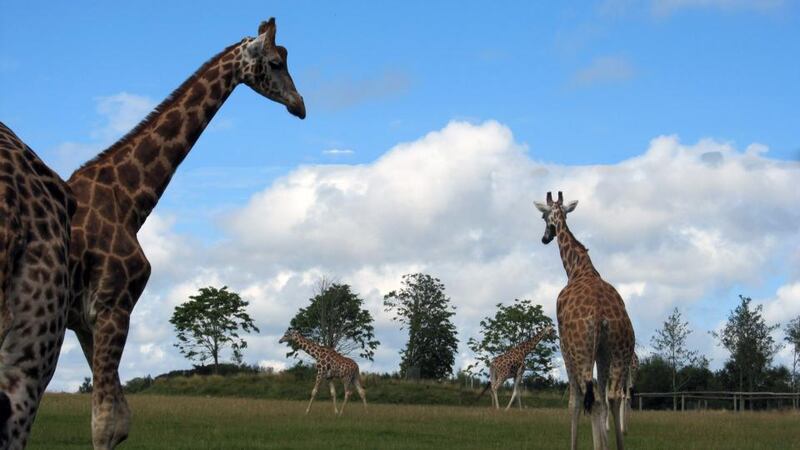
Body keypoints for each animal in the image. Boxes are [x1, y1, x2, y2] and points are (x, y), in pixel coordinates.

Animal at [63, 18, 304, 450]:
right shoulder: (111, 307)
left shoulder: (84, 320)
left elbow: (119, 419)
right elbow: (105, 423)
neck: (129, 202)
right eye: (277, 62)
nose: (301, 105)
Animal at [536, 192, 636, 450]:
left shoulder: (564, 345)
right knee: (611, 396)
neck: (578, 269)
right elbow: (602, 396)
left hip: (580, 350)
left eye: (543, 216)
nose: (544, 238)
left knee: (588, 396)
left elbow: (575, 401)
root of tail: (600, 316)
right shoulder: (602, 352)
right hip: (620, 350)